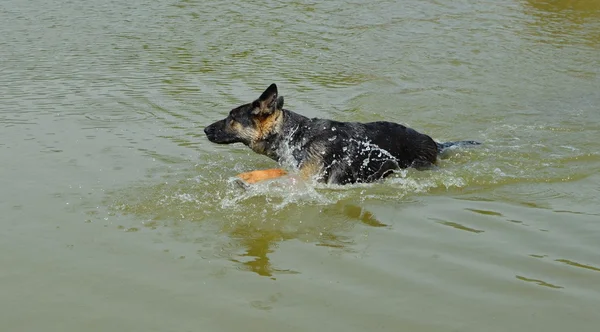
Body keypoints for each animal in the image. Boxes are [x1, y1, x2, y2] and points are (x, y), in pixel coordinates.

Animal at [204, 83, 480, 185]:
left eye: (231, 118)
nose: (204, 129)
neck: (296, 135)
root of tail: (434, 142)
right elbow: (277, 171)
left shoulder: (307, 176)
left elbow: (276, 174)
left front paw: (246, 178)